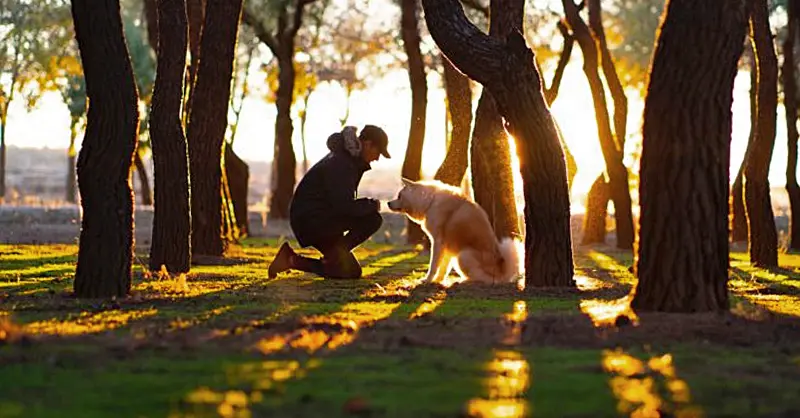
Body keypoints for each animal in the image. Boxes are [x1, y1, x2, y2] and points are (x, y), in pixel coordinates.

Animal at [386, 178, 520, 286]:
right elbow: (443, 268)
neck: (431, 201)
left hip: (463, 256)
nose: (388, 203)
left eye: (399, 196)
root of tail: (502, 274)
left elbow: (433, 266)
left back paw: (465, 281)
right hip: (457, 257)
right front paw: (438, 281)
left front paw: (428, 280)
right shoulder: (448, 246)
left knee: (485, 279)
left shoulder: (438, 242)